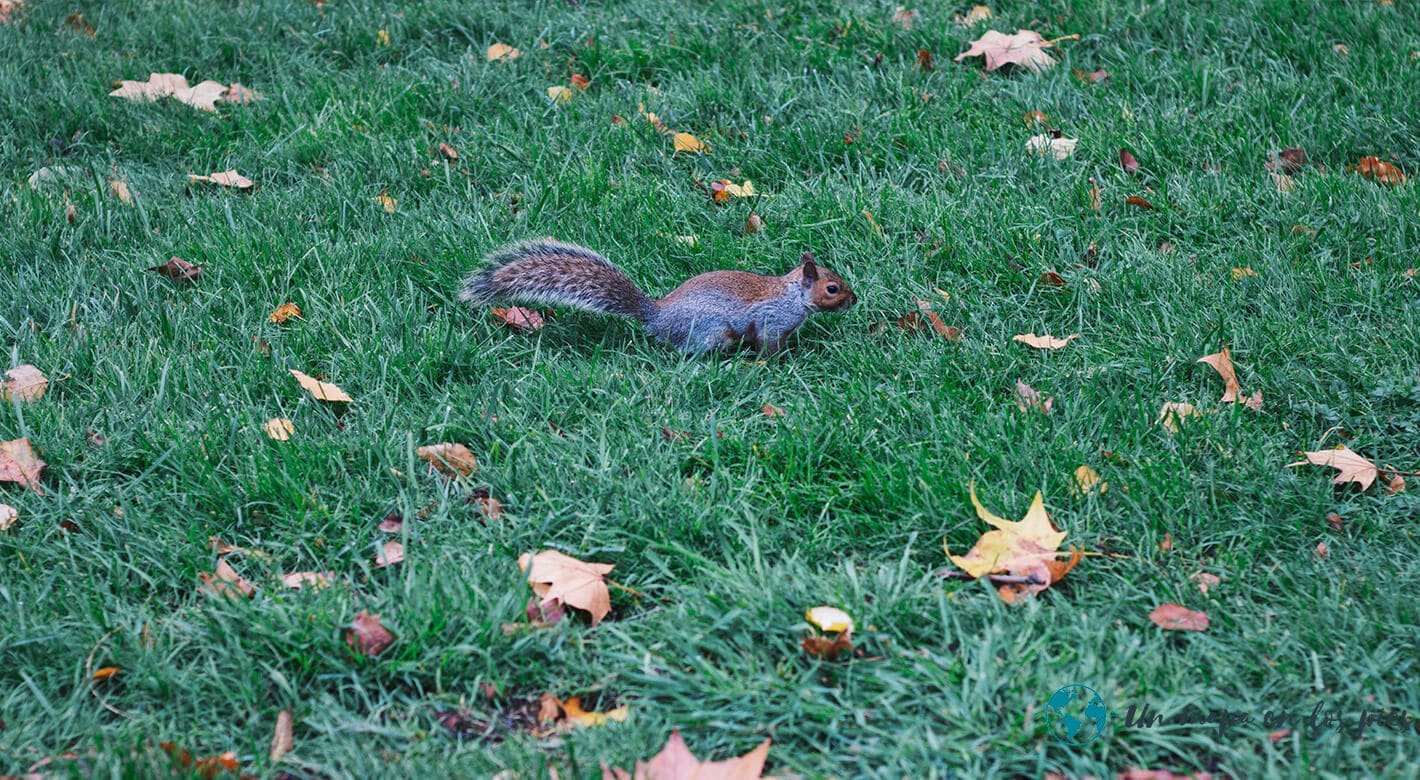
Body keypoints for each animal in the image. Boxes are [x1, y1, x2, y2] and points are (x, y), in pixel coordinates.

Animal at [458, 238, 856, 354]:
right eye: (832, 288)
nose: (854, 300)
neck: (792, 295)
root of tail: (657, 316)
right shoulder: (771, 320)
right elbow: (768, 344)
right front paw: (778, 361)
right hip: (711, 332)